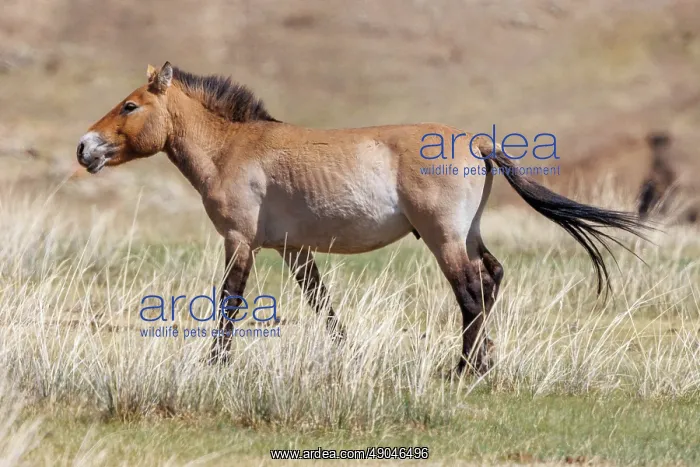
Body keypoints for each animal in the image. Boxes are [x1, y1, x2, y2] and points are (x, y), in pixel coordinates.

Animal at [77, 62, 647, 374]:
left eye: (129, 106)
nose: (84, 148)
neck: (231, 148)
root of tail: (476, 143)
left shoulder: (239, 242)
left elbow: (229, 302)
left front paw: (215, 364)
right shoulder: (293, 249)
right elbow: (322, 304)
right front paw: (346, 355)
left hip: (443, 238)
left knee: (469, 292)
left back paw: (465, 371)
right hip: (468, 234)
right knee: (491, 278)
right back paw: (483, 364)